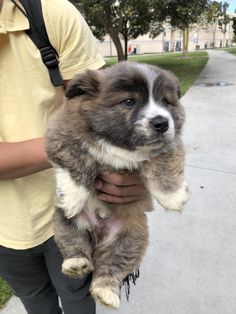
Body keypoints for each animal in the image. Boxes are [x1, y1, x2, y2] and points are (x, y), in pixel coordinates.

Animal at [45, 61, 190, 310]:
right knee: (73, 243)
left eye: (166, 101)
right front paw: (73, 197)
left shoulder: (170, 144)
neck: (120, 144)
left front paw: (173, 196)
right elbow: (77, 159)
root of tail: (98, 232)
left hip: (131, 238)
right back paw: (76, 263)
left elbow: (163, 162)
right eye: (129, 101)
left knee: (111, 266)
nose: (161, 123)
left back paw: (106, 292)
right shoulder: (61, 134)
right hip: (65, 222)